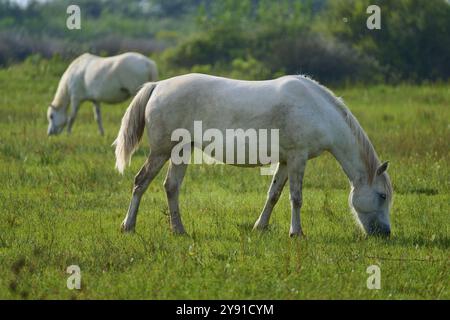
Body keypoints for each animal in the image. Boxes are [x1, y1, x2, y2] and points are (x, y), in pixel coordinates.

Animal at [114, 72, 392, 238]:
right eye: (382, 195)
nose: (386, 233)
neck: (318, 110)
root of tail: (158, 86)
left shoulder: (285, 161)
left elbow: (274, 194)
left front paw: (261, 226)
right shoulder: (297, 158)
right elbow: (296, 198)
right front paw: (297, 232)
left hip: (181, 151)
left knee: (171, 187)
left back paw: (179, 230)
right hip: (161, 151)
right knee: (140, 182)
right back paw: (128, 226)